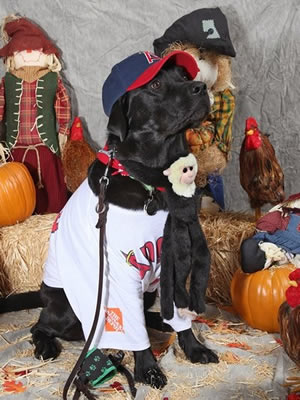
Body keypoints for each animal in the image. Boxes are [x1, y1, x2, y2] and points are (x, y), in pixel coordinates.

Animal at [30, 52, 218, 388]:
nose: (201, 87)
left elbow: (178, 315)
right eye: (155, 84)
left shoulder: (171, 263)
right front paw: (149, 368)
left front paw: (194, 347)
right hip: (66, 308)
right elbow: (134, 329)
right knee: (40, 325)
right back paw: (46, 345)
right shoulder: (120, 273)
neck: (153, 181)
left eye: (184, 76)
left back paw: (160, 321)